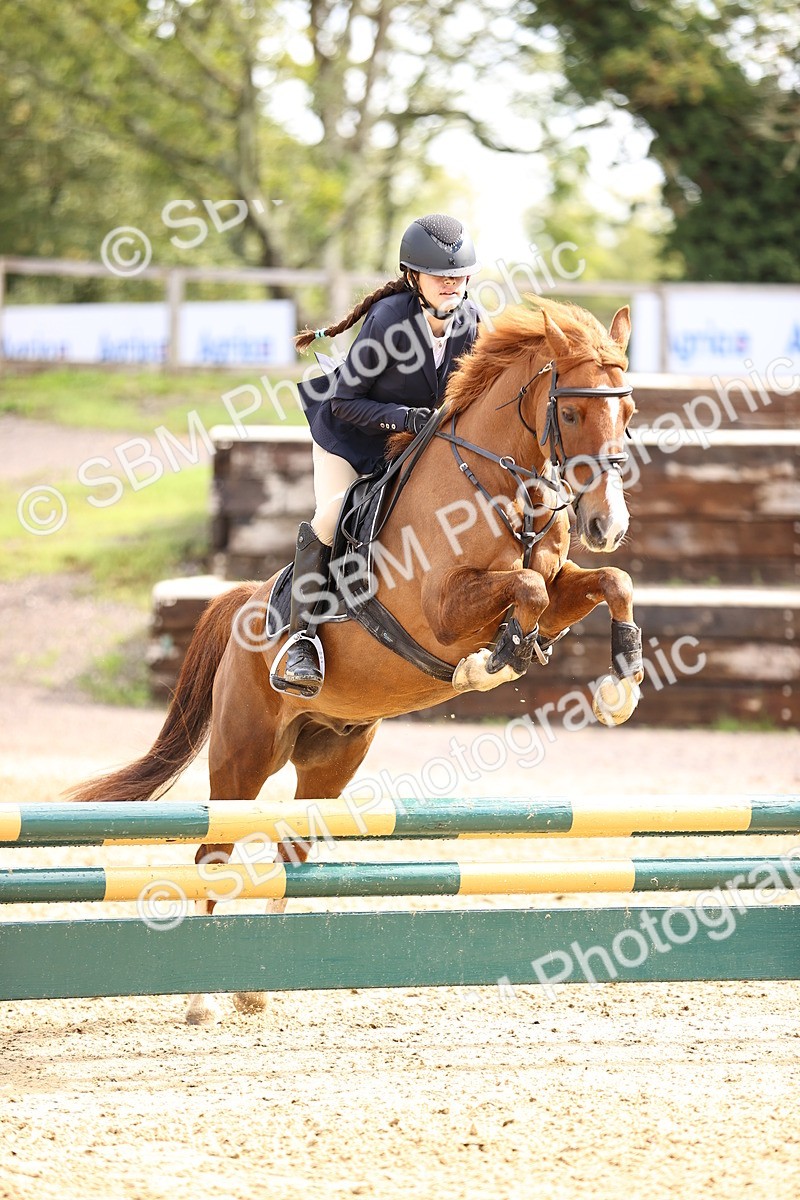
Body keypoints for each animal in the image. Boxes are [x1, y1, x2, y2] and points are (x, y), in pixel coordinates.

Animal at [67, 296, 644, 1022]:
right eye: (569, 415)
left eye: (629, 412)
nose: (607, 523)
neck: (500, 486)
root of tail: (245, 602)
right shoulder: (440, 611)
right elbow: (525, 590)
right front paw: (493, 661)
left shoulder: (563, 582)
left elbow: (605, 582)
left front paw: (620, 685)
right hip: (243, 752)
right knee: (214, 851)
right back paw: (201, 998)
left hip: (333, 755)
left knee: (291, 845)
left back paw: (255, 985)